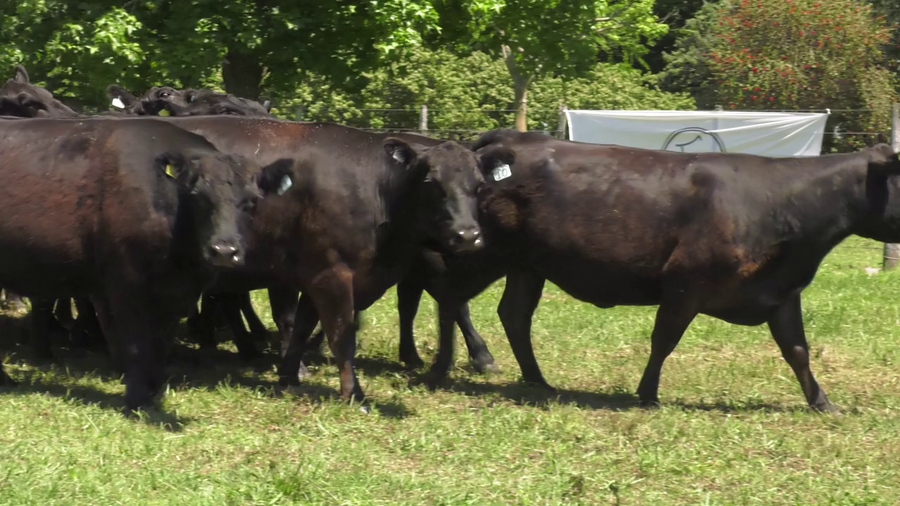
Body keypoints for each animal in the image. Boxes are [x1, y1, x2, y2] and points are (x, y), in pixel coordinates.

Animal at [0, 116, 291, 409]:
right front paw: (137, 400)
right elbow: (137, 344)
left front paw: (154, 391)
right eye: (196, 194)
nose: (223, 251)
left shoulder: (176, 294)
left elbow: (160, 344)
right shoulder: (125, 283)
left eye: (252, 201)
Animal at [146, 116, 511, 401]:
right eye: (430, 180)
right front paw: (354, 394)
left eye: (479, 184)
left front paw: (289, 375)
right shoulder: (332, 273)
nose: (467, 235)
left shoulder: (315, 273)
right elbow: (341, 334)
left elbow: (302, 325)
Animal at [409, 129, 900, 413]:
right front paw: (647, 394)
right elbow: (664, 340)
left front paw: (823, 402)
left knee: (512, 314)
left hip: (528, 265)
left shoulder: (781, 293)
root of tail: (504, 141)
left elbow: (797, 350)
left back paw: (536, 380)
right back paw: (447, 365)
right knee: (447, 292)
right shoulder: (685, 285)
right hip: (478, 248)